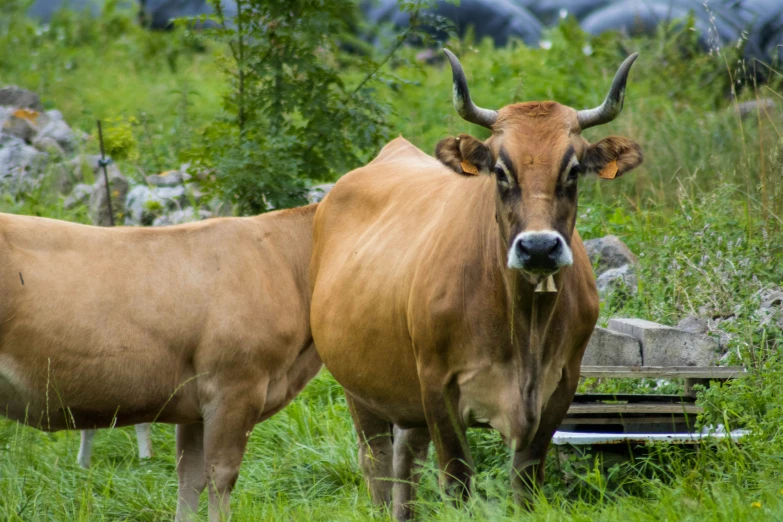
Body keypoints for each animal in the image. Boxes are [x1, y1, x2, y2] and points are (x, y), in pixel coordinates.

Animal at [310, 49, 648, 516]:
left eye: (574, 170)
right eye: (501, 171)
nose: (538, 248)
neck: (524, 329)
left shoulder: (562, 385)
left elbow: (526, 482)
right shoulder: (437, 386)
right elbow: (457, 483)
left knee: (405, 461)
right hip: (358, 386)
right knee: (376, 463)